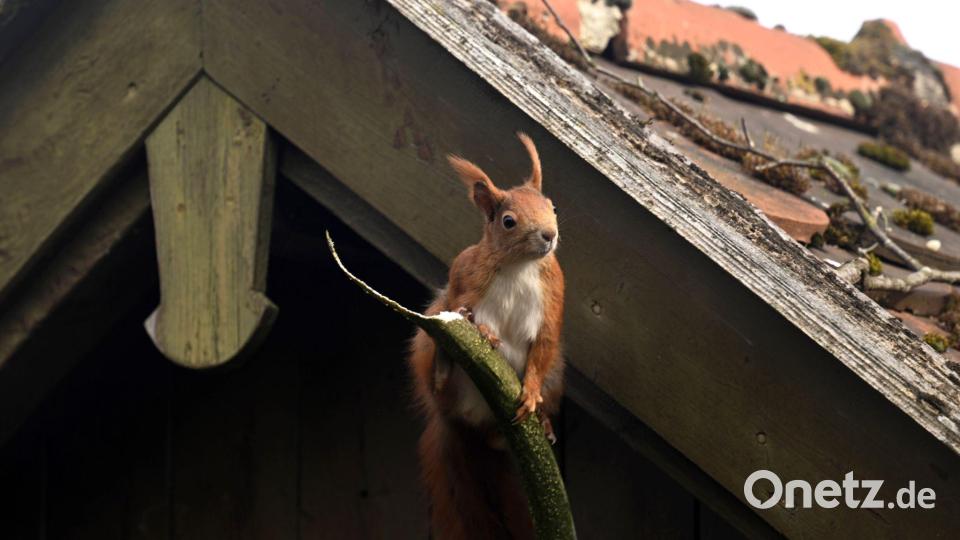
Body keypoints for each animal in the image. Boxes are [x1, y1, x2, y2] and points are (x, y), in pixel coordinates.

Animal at [408, 132, 564, 539]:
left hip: (555, 378)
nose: (550, 235)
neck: (518, 265)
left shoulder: (552, 303)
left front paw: (530, 395)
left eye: (552, 207)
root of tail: (464, 427)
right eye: (509, 221)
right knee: (440, 382)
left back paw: (543, 424)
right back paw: (444, 368)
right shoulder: (462, 279)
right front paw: (485, 333)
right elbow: (467, 309)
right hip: (430, 340)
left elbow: (543, 348)